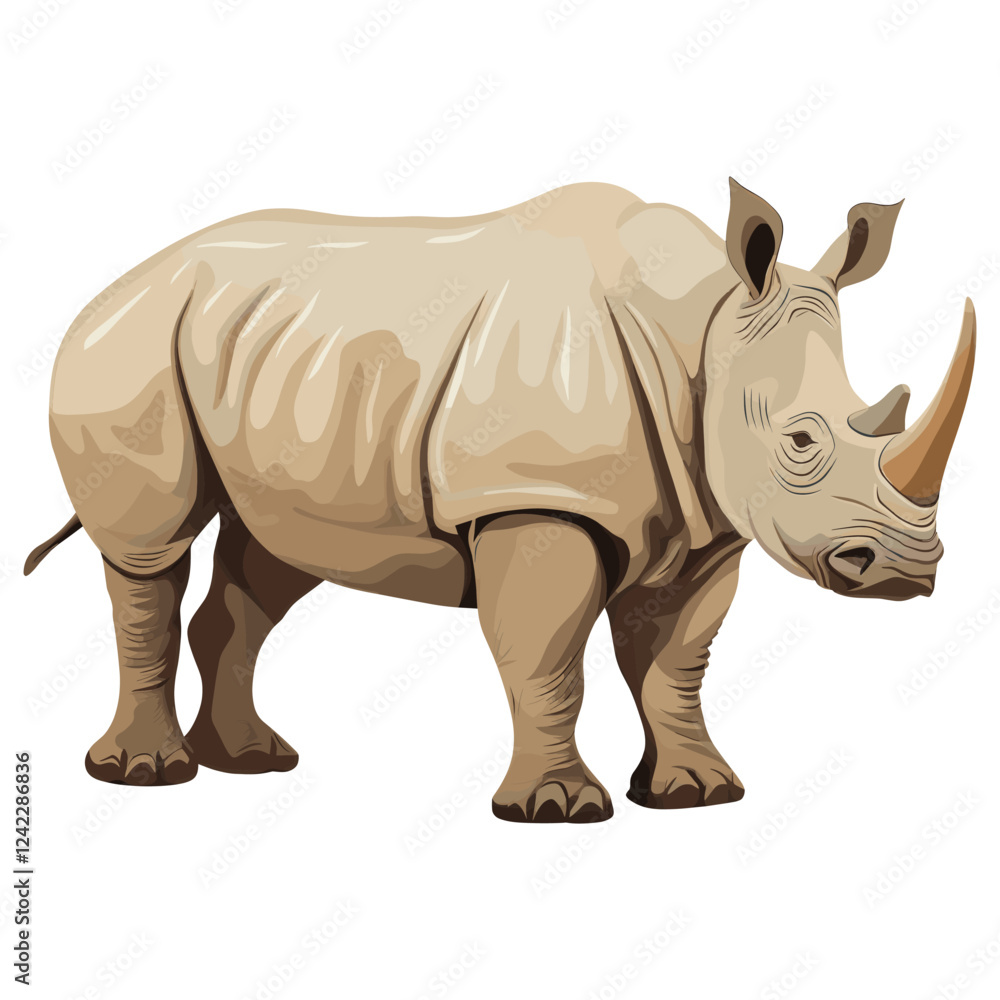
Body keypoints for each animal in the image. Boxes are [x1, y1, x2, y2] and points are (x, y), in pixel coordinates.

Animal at [26, 179, 975, 822]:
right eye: (802, 443)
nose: (904, 572)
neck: (703, 329)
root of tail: (113, 286)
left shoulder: (705, 519)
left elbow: (675, 661)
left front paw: (696, 793)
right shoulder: (537, 497)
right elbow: (548, 657)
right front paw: (556, 809)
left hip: (269, 360)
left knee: (273, 555)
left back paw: (255, 762)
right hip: (131, 346)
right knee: (150, 549)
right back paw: (146, 773)